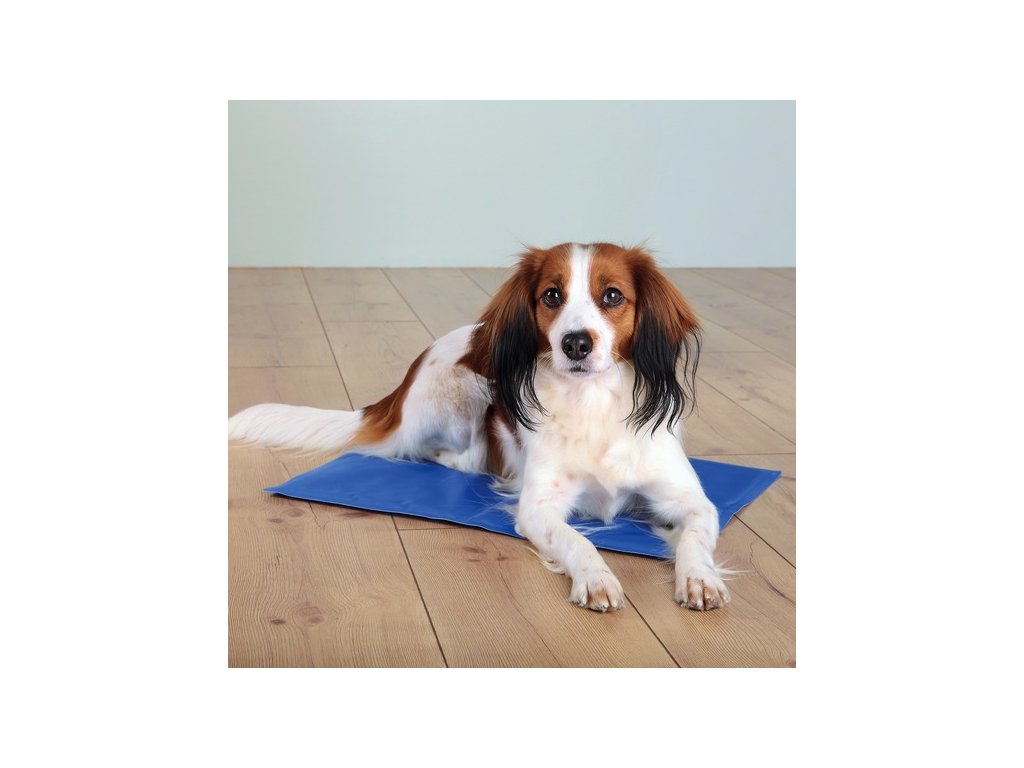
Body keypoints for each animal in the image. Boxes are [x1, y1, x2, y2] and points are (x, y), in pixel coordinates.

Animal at [229, 242, 728, 612]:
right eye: (552, 295)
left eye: (612, 296)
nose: (576, 343)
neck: (593, 405)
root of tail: (403, 387)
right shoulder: (538, 508)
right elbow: (576, 541)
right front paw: (596, 577)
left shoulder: (692, 501)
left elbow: (696, 539)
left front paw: (699, 578)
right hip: (468, 390)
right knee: (451, 456)